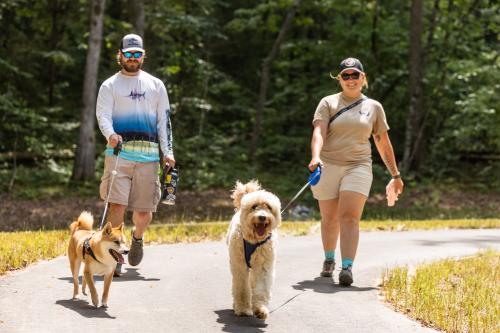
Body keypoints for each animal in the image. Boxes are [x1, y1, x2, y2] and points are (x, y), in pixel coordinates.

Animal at [227, 180, 282, 320]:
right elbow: (241, 287)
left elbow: (261, 287)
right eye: (254, 206)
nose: (262, 217)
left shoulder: (263, 266)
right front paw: (242, 309)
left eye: (268, 207)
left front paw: (260, 309)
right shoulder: (240, 267)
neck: (254, 240)